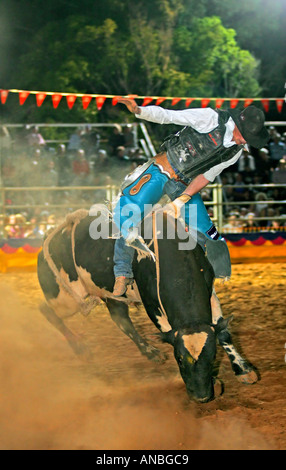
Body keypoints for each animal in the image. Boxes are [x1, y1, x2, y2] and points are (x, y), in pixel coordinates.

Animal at [36, 207, 258, 402]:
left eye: (212, 356)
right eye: (179, 359)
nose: (201, 397)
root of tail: (47, 242)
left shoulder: (210, 291)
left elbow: (223, 332)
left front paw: (244, 370)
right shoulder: (152, 305)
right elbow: (166, 330)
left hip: (110, 296)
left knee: (121, 320)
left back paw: (149, 352)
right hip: (66, 298)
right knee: (46, 311)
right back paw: (80, 346)